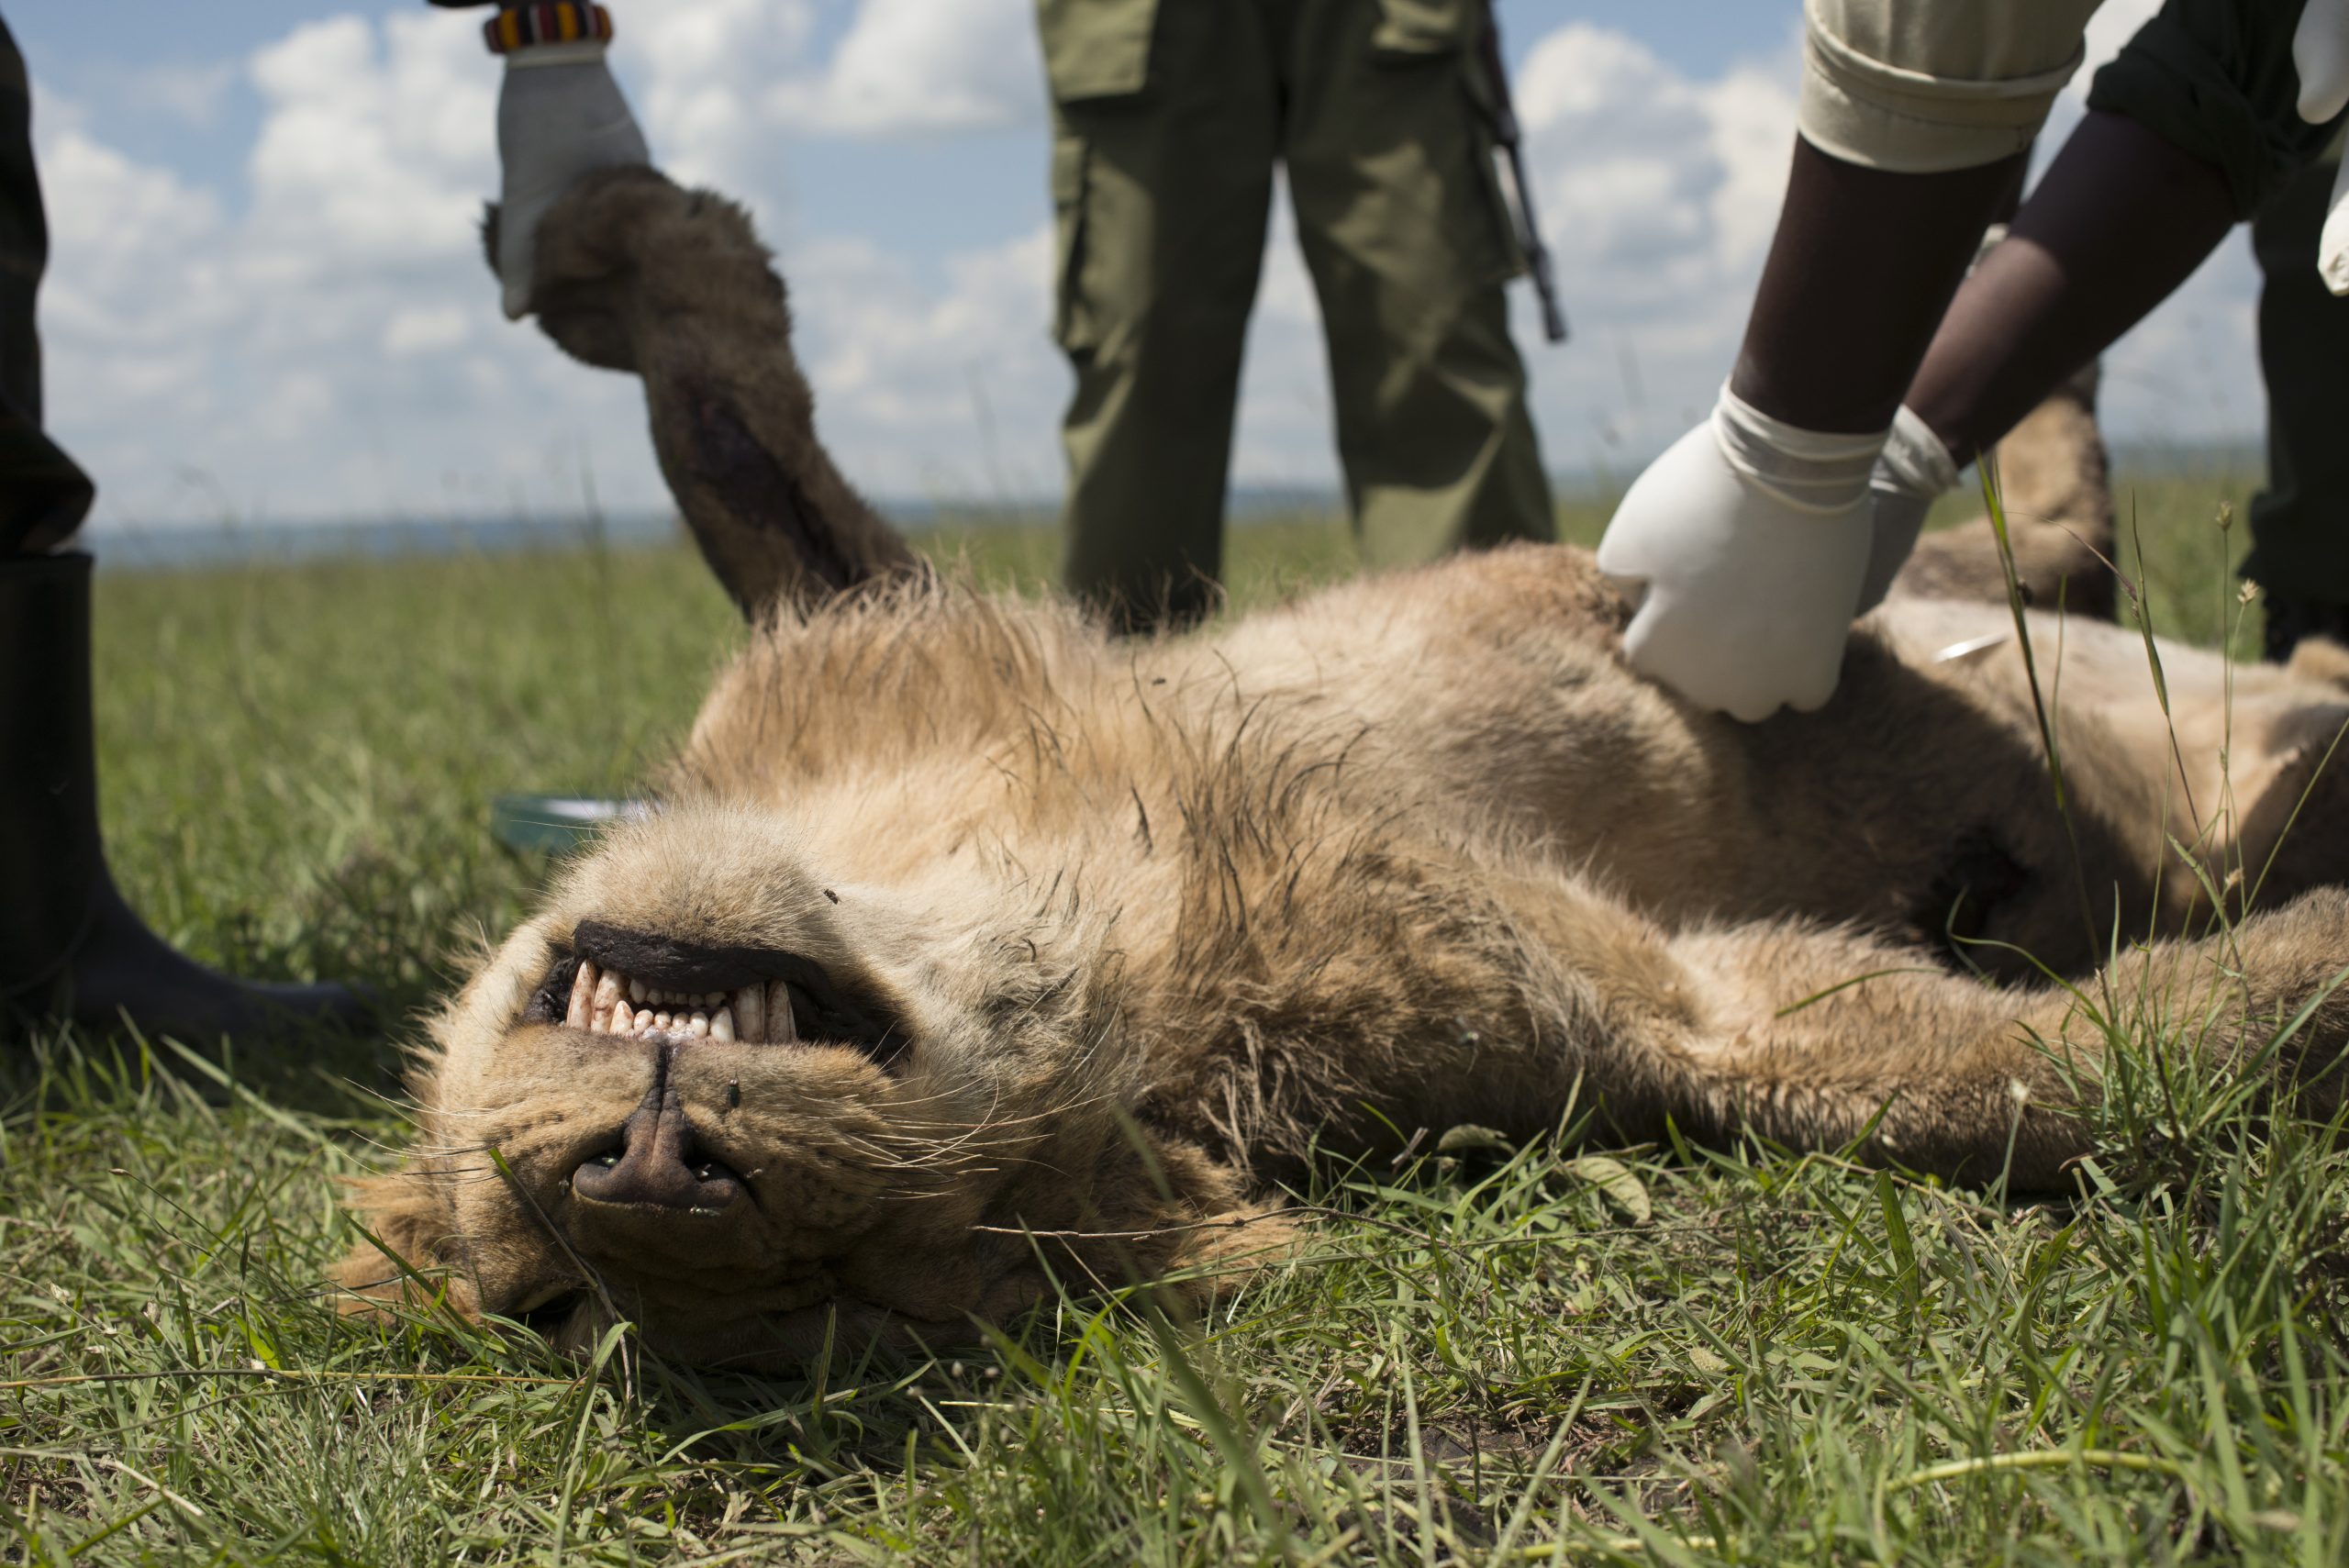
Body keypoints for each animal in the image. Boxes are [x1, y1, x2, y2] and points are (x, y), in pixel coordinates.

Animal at [342, 170, 2349, 1367]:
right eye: (554, 1286)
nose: (650, 1182)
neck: (1076, 881)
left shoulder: (873, 637)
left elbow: (749, 457)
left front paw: (617, 242)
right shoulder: (1632, 1011)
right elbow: (2019, 1075)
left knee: (2057, 539)